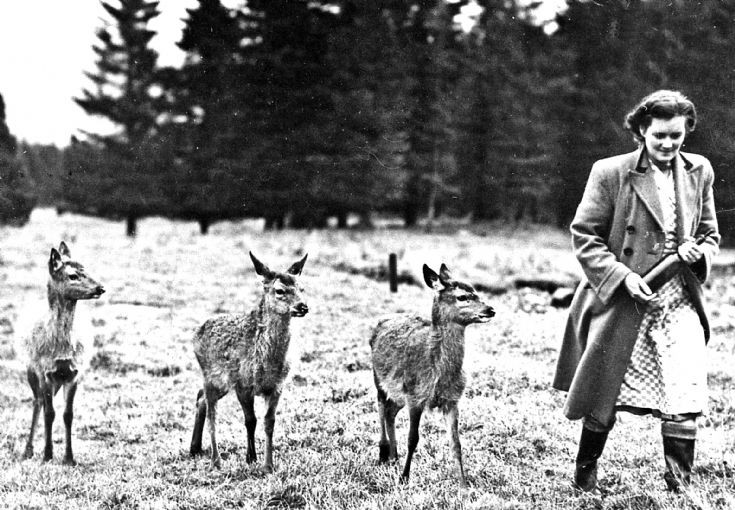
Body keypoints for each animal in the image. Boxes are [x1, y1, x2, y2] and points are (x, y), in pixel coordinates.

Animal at [20, 242, 105, 465]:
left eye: (85, 269)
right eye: (72, 275)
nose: (101, 288)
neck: (62, 349)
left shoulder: (74, 373)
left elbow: (68, 414)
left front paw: (69, 458)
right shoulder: (45, 372)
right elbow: (50, 413)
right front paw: (48, 455)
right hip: (31, 371)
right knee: (37, 402)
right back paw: (28, 451)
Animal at [190, 252, 308, 472]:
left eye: (302, 288)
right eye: (280, 290)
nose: (303, 306)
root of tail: (197, 332)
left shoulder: (277, 386)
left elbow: (269, 422)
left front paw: (268, 465)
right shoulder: (242, 384)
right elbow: (250, 420)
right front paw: (251, 457)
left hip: (221, 384)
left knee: (200, 398)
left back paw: (194, 448)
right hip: (210, 375)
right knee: (211, 411)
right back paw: (215, 460)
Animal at [370, 263, 495, 487]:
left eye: (476, 291)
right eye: (462, 296)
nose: (490, 310)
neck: (437, 372)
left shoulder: (452, 400)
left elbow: (456, 443)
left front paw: (464, 485)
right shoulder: (415, 396)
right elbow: (413, 439)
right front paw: (404, 478)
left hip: (398, 394)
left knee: (390, 412)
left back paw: (394, 456)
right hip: (379, 379)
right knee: (381, 406)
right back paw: (384, 454)